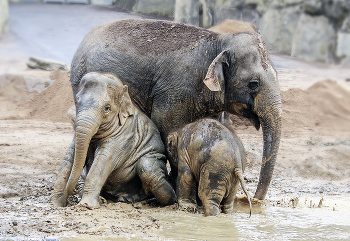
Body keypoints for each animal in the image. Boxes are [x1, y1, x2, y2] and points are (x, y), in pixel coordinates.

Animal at [52, 72, 176, 208]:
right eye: (77, 102)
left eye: (107, 108)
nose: (69, 191)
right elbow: (69, 157)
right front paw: (56, 204)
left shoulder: (125, 135)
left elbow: (103, 161)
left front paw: (87, 206)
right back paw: (103, 199)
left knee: (148, 169)